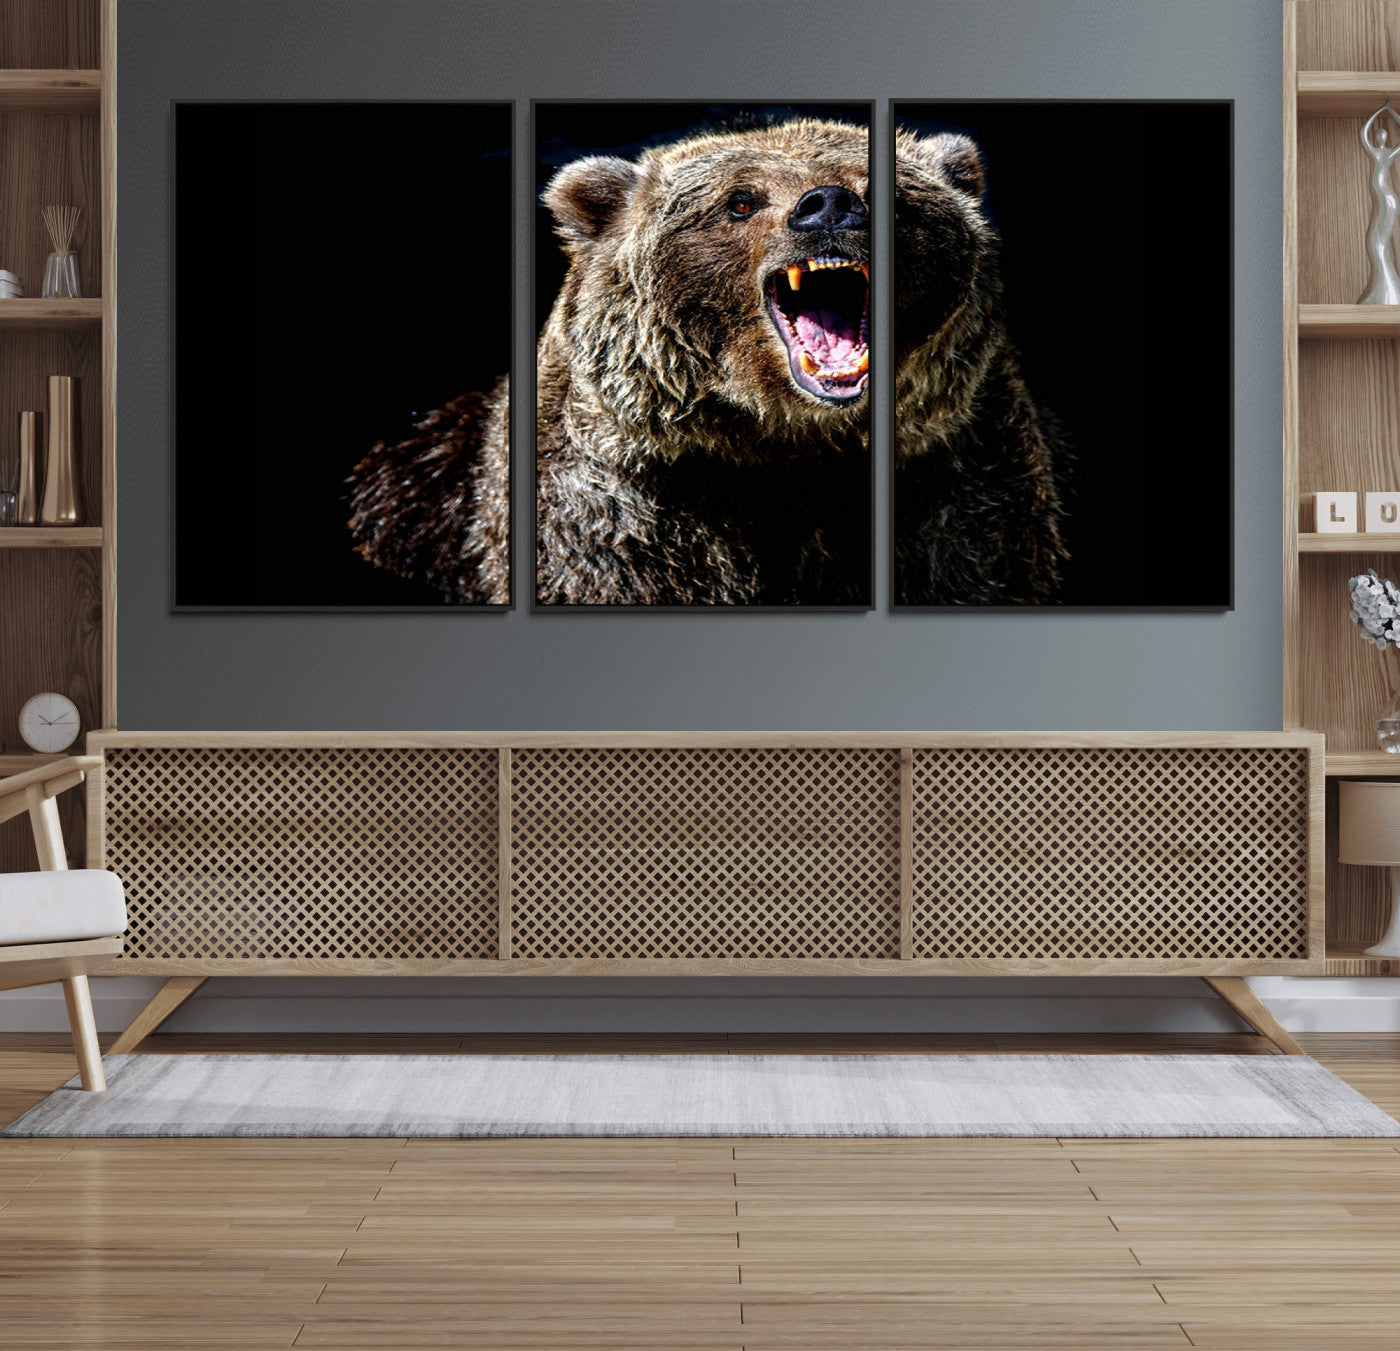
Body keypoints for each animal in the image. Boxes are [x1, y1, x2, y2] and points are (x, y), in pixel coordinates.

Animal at [346, 117, 1065, 607]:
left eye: (889, 194)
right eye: (740, 200)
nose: (830, 205)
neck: (785, 444)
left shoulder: (954, 485)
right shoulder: (622, 508)